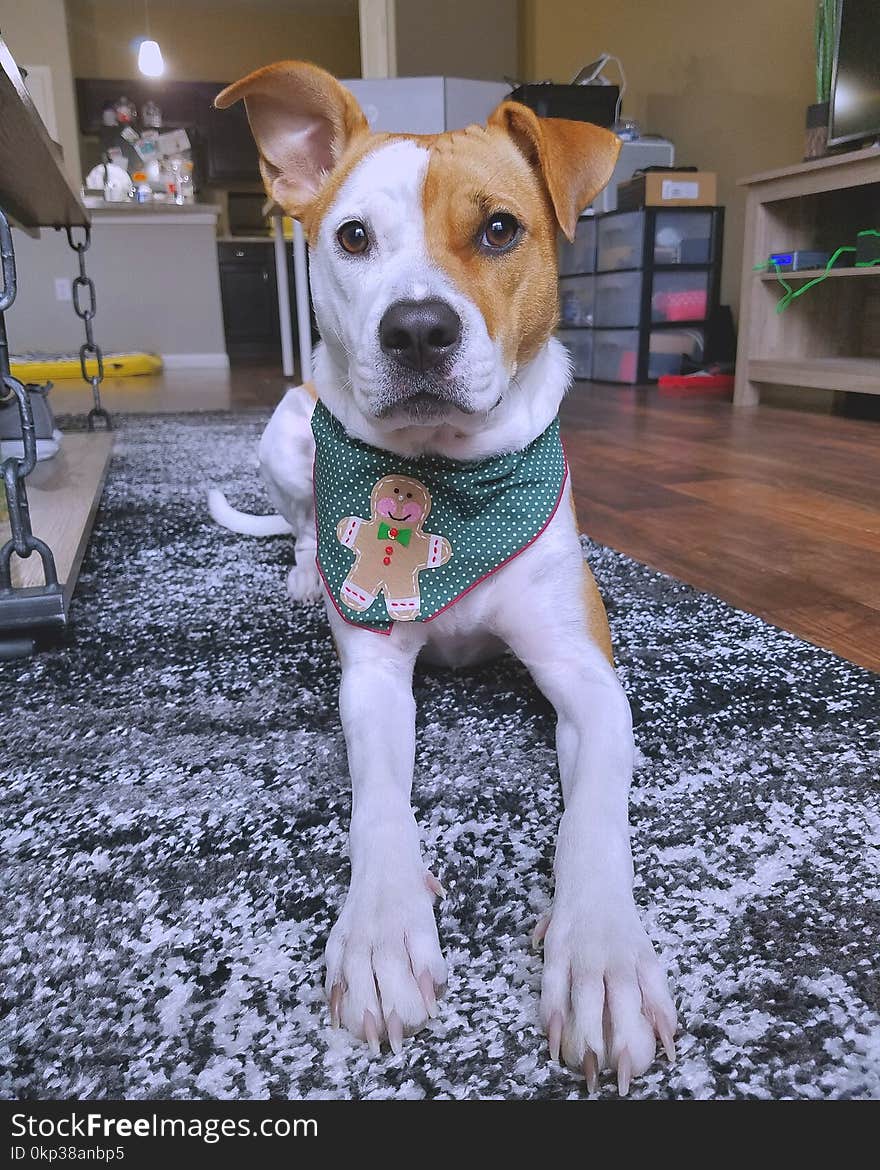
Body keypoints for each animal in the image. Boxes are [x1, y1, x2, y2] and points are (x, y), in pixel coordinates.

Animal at [209, 61, 678, 1085]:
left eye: (500, 229)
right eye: (352, 236)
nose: (417, 330)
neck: (452, 483)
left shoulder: (588, 678)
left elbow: (594, 818)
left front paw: (601, 956)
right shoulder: (375, 675)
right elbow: (379, 801)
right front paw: (383, 932)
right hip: (287, 425)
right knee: (299, 517)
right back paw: (301, 572)